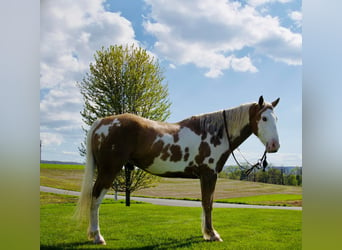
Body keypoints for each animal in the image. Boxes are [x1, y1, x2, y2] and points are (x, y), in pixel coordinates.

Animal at [75, 95, 280, 244]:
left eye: (276, 119)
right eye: (263, 118)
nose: (274, 146)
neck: (216, 133)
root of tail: (102, 122)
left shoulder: (205, 176)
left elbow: (206, 204)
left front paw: (206, 233)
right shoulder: (209, 175)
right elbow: (208, 204)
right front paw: (212, 234)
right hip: (109, 170)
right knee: (95, 199)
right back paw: (97, 237)